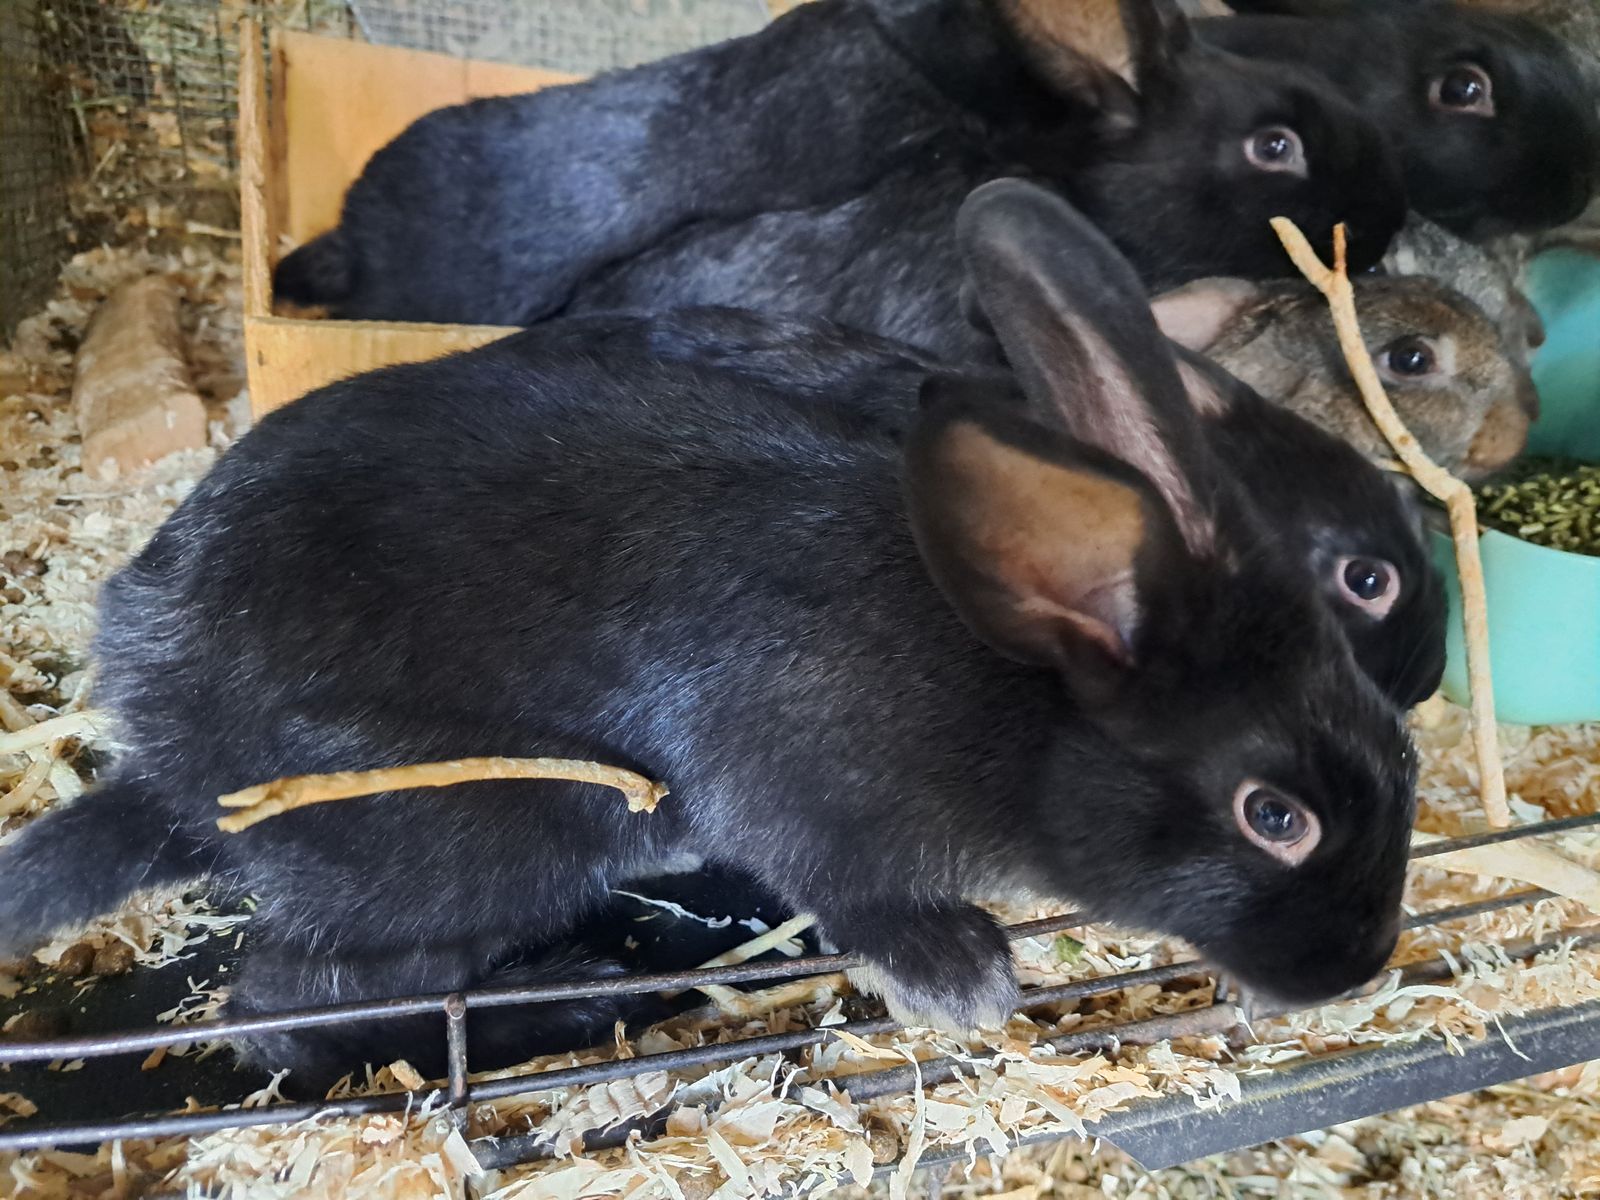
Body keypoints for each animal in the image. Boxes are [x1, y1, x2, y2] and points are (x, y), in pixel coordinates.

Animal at [0, 181, 1420, 1091]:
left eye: (1401, 765)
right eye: (1274, 818)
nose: (1355, 969)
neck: (1022, 702)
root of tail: (173, 762)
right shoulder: (795, 775)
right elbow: (845, 883)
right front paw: (963, 975)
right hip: (480, 832)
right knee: (285, 1010)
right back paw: (563, 1005)